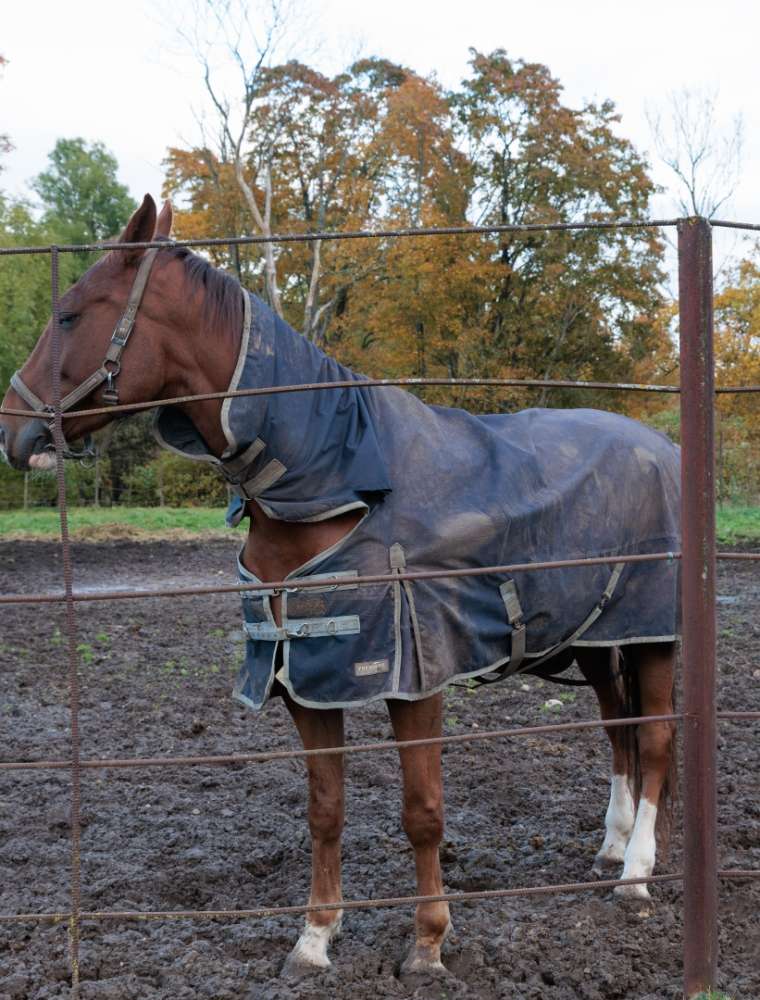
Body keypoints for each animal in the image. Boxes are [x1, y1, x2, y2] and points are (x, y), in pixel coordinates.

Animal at [0, 195, 679, 978]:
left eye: (70, 314)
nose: (12, 429)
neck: (328, 487)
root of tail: (662, 446)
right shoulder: (301, 677)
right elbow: (325, 809)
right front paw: (315, 936)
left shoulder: (413, 676)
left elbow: (423, 810)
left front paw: (427, 941)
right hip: (599, 639)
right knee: (617, 729)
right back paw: (611, 848)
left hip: (655, 634)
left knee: (654, 738)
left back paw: (636, 877)